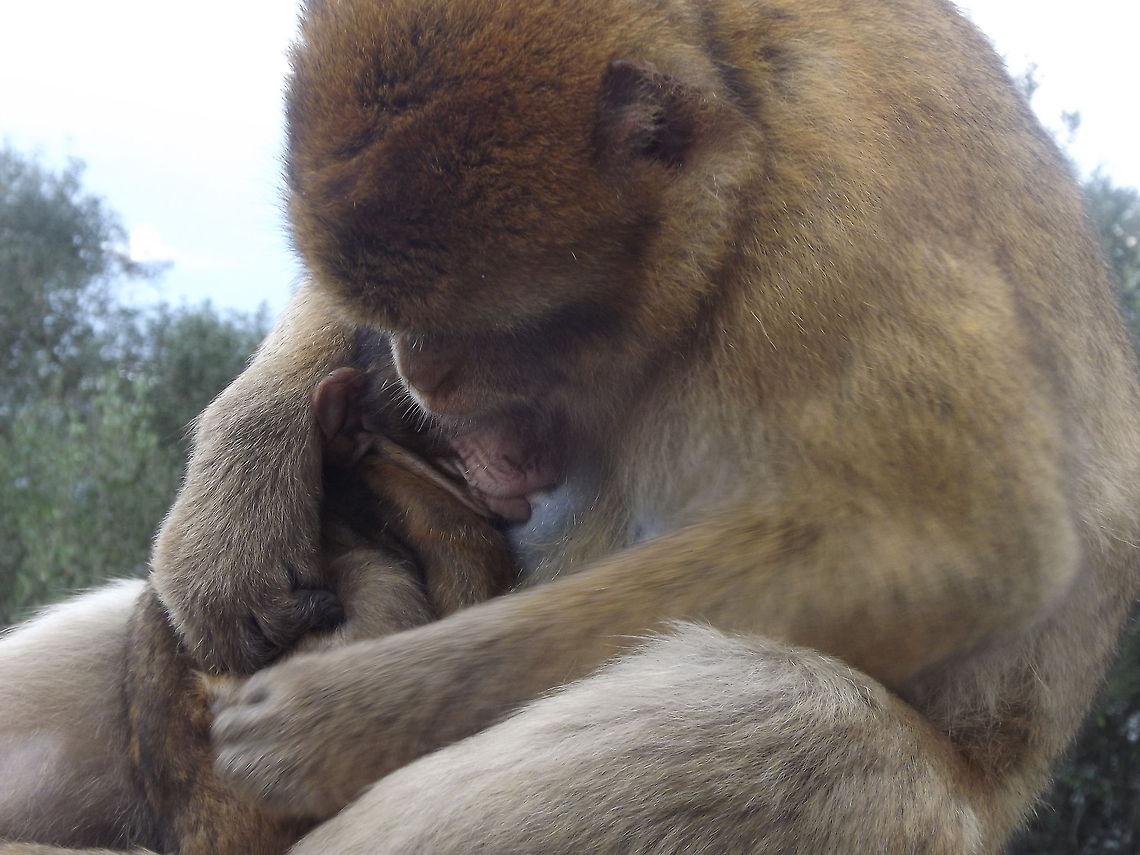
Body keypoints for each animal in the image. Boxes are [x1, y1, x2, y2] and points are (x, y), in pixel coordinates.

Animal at [144, 0, 1140, 850]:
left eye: (490, 323)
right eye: (393, 315)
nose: (416, 370)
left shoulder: (850, 222)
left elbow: (973, 553)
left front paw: (348, 716)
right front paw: (231, 514)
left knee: (803, 720)